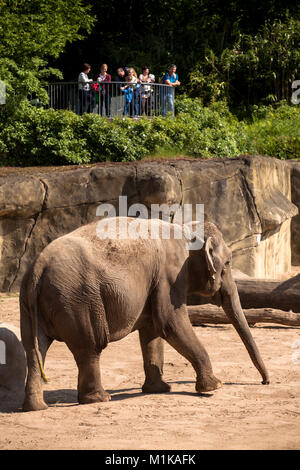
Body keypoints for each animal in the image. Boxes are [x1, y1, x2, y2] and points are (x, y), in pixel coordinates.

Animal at [21, 217, 270, 412]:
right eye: (227, 263)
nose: (265, 382)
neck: (184, 228)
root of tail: (39, 266)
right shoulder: (170, 276)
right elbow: (170, 323)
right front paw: (214, 386)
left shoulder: (156, 283)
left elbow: (152, 330)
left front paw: (160, 389)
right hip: (78, 299)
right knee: (90, 347)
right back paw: (99, 399)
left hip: (33, 302)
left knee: (34, 349)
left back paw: (36, 407)